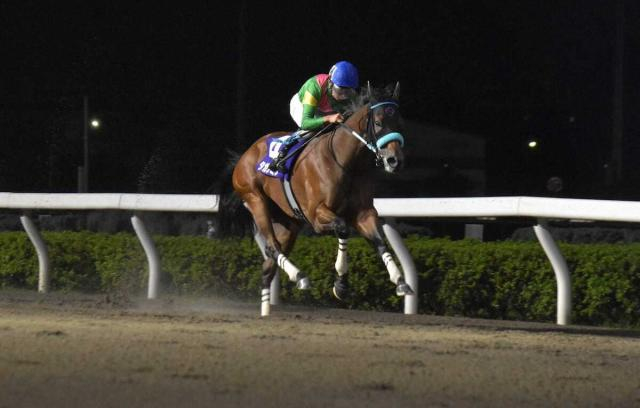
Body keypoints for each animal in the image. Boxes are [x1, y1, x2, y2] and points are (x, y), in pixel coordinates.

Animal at [226, 83, 412, 315]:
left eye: (400, 123)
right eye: (378, 123)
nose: (395, 161)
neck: (346, 161)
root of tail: (244, 155)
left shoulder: (363, 213)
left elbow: (379, 242)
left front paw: (400, 281)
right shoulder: (316, 215)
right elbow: (343, 228)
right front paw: (340, 284)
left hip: (289, 222)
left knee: (268, 265)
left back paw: (266, 312)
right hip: (255, 199)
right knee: (271, 246)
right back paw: (299, 276)